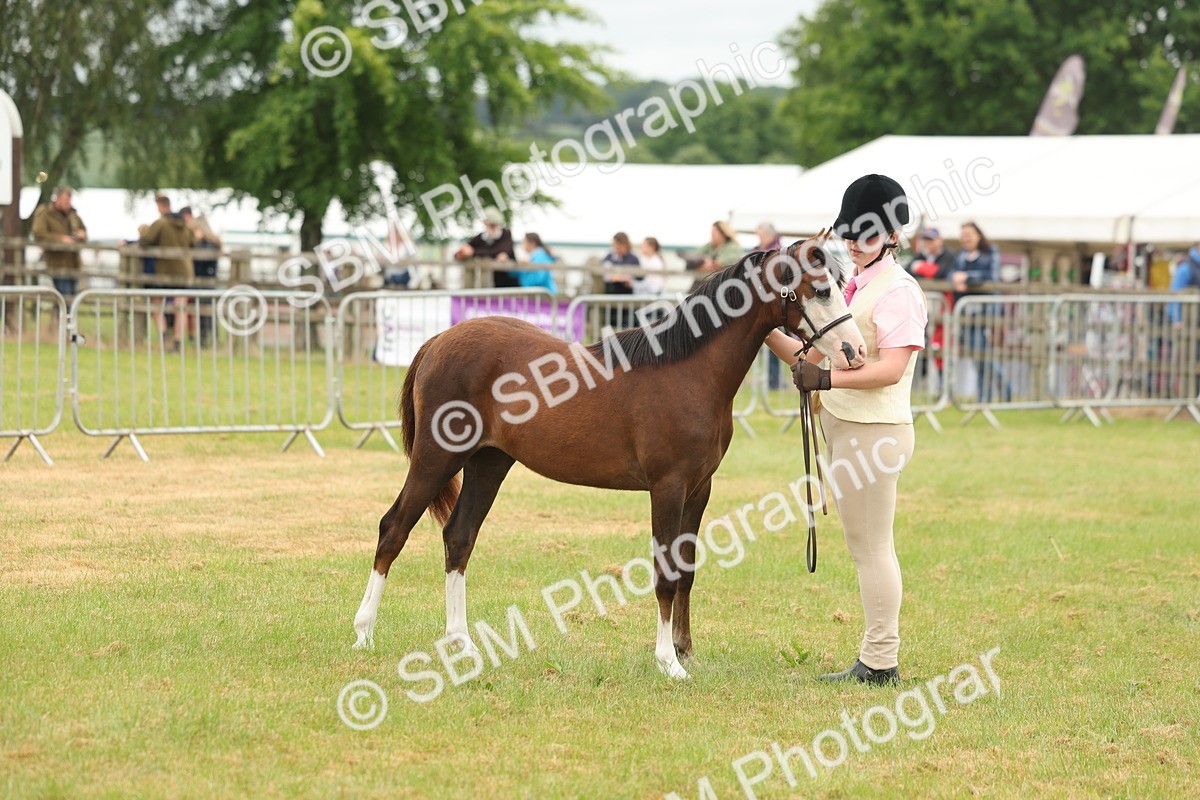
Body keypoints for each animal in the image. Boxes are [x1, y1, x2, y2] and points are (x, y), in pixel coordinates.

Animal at [352, 236, 867, 680]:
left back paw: (461, 643)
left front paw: (685, 651)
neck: (688, 371)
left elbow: (687, 571)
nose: (854, 350)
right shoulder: (668, 487)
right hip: (436, 457)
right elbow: (665, 573)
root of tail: (438, 342)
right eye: (821, 289)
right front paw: (668, 662)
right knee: (393, 529)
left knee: (459, 537)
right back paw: (364, 634)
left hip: (488, 463)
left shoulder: (700, 489)